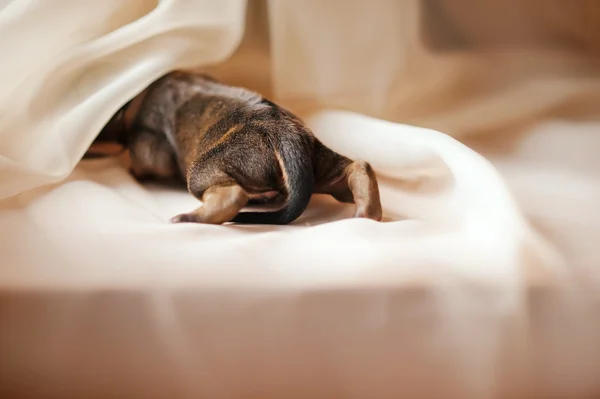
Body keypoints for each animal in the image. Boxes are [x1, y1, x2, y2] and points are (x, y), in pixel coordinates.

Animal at [94, 71, 384, 225]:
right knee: (357, 168)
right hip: (319, 162)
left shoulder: (149, 148)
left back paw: (190, 217)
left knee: (232, 194)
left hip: (208, 167)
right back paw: (366, 212)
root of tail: (282, 131)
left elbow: (144, 160)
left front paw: (133, 170)